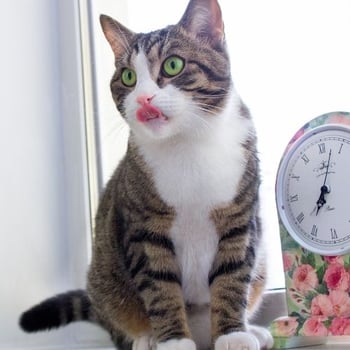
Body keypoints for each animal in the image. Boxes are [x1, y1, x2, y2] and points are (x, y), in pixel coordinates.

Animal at [19, 0, 274, 350]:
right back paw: (147, 339)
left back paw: (254, 331)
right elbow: (160, 286)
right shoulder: (144, 227)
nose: (142, 98)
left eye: (172, 65)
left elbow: (232, 278)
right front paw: (174, 341)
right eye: (128, 76)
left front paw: (233, 334)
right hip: (104, 281)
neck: (187, 144)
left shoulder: (239, 219)